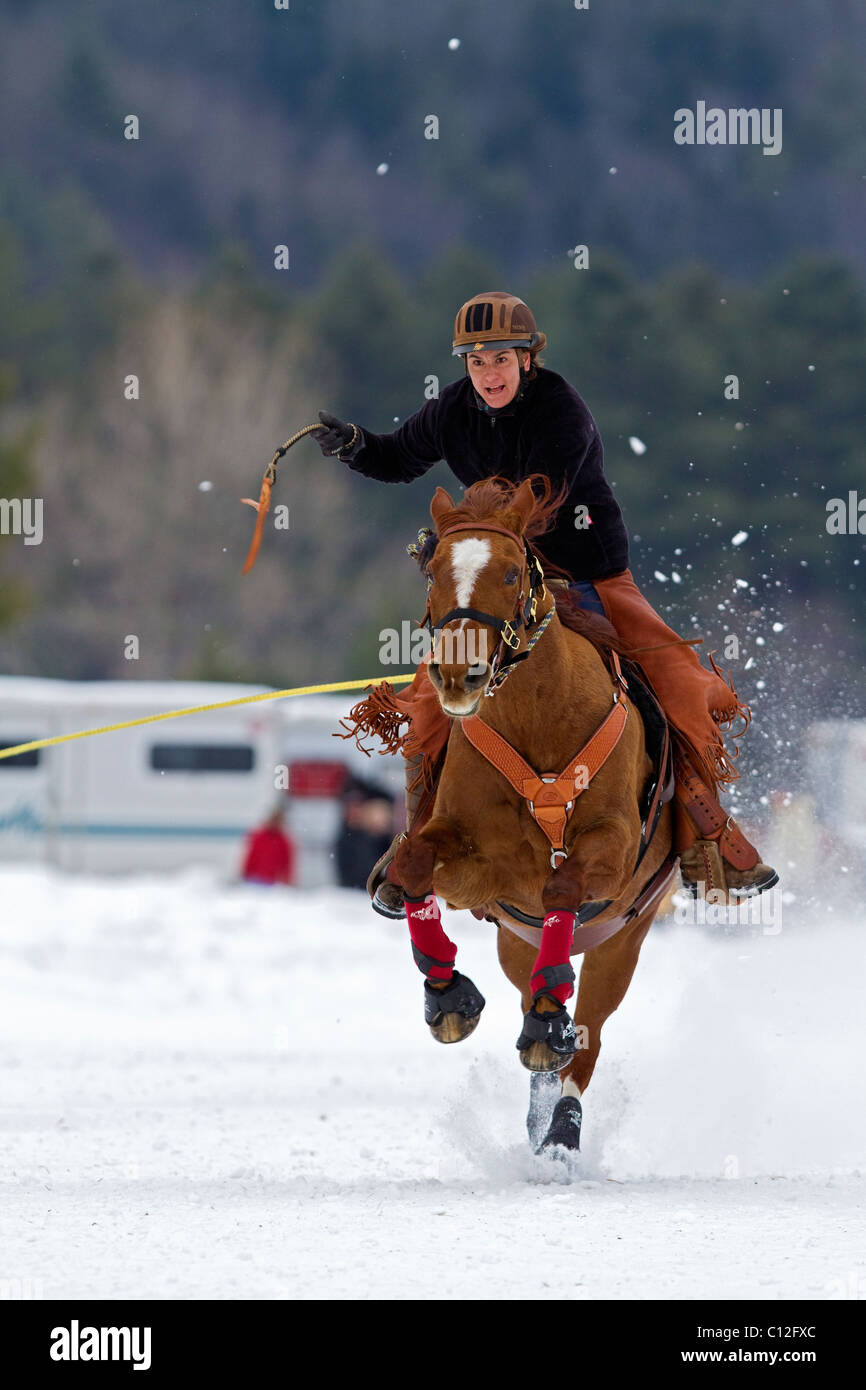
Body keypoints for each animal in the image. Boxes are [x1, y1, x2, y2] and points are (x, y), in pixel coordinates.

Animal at [391, 478, 683, 1150]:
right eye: (433, 572)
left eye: (507, 572)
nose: (458, 673)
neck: (540, 718)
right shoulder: (477, 868)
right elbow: (415, 861)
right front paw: (446, 993)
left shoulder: (613, 848)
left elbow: (564, 885)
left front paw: (550, 1020)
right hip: (514, 943)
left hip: (621, 942)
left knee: (587, 1042)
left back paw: (561, 1127)